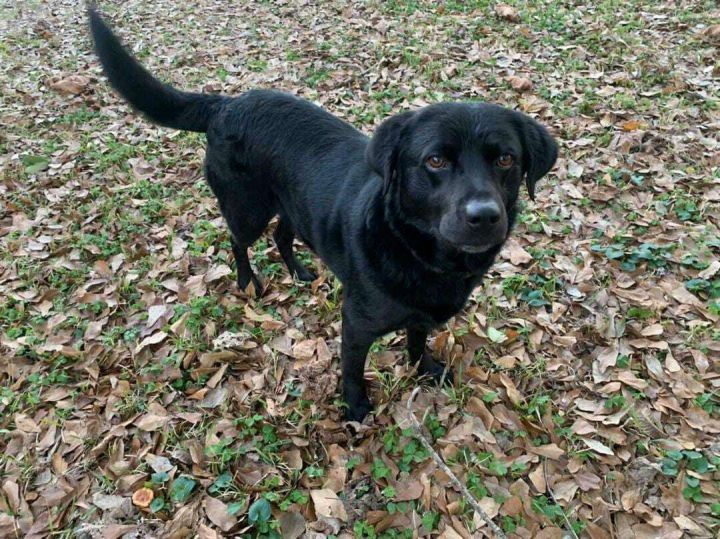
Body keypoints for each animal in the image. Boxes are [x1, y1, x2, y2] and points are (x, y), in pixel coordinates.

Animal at [88, 8, 556, 422]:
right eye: (436, 161)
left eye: (505, 159)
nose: (484, 216)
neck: (418, 251)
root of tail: (226, 104)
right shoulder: (357, 325)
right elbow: (352, 372)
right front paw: (356, 409)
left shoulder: (420, 316)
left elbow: (417, 340)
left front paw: (424, 369)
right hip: (247, 208)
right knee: (238, 241)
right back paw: (247, 281)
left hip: (293, 205)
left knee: (281, 236)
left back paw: (298, 272)